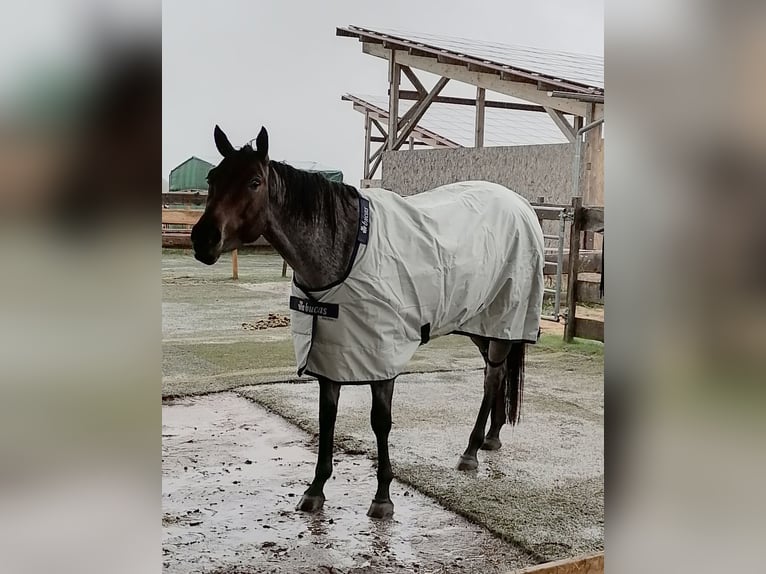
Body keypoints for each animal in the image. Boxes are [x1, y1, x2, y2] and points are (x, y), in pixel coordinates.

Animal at [191, 125, 545, 519]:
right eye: (212, 178)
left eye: (254, 182)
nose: (203, 240)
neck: (347, 249)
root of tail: (520, 204)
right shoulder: (330, 352)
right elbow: (326, 417)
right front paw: (315, 490)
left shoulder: (382, 356)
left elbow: (380, 421)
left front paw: (382, 496)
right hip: (480, 323)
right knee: (493, 373)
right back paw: (490, 437)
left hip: (503, 317)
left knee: (493, 376)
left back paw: (470, 450)